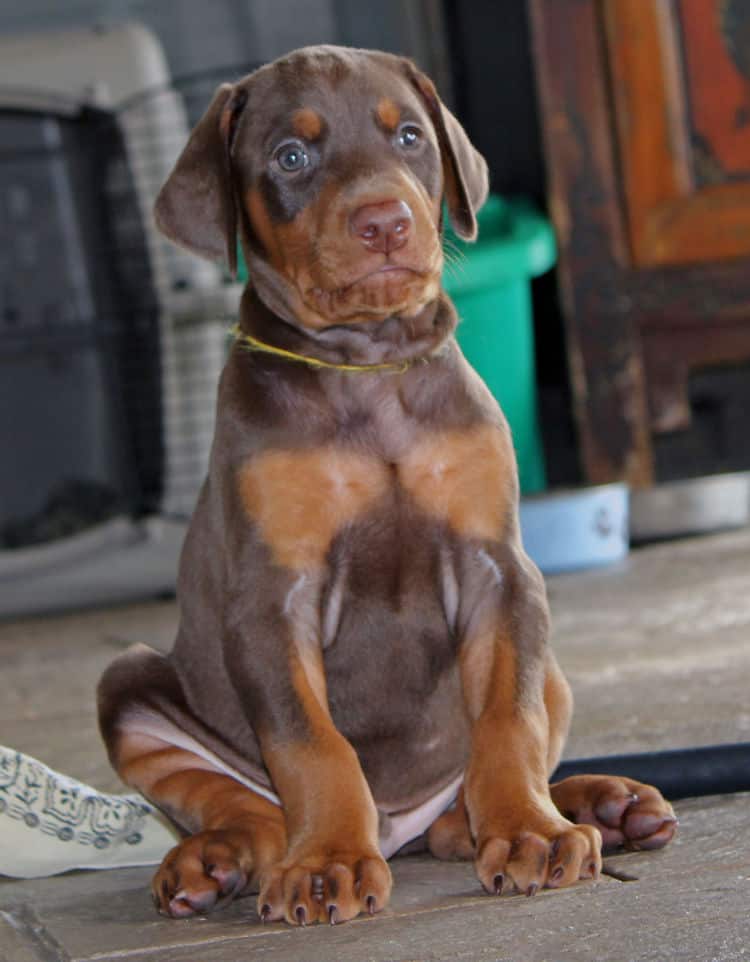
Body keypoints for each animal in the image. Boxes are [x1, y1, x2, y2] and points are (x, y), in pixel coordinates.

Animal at [97, 43, 680, 924]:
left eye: (408, 136)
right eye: (290, 157)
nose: (385, 222)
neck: (367, 366)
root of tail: (403, 825)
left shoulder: (501, 571)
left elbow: (508, 719)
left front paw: (529, 830)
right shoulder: (271, 598)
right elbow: (311, 744)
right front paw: (329, 860)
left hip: (552, 667)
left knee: (479, 785)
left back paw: (591, 806)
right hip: (130, 679)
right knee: (245, 806)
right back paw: (221, 858)